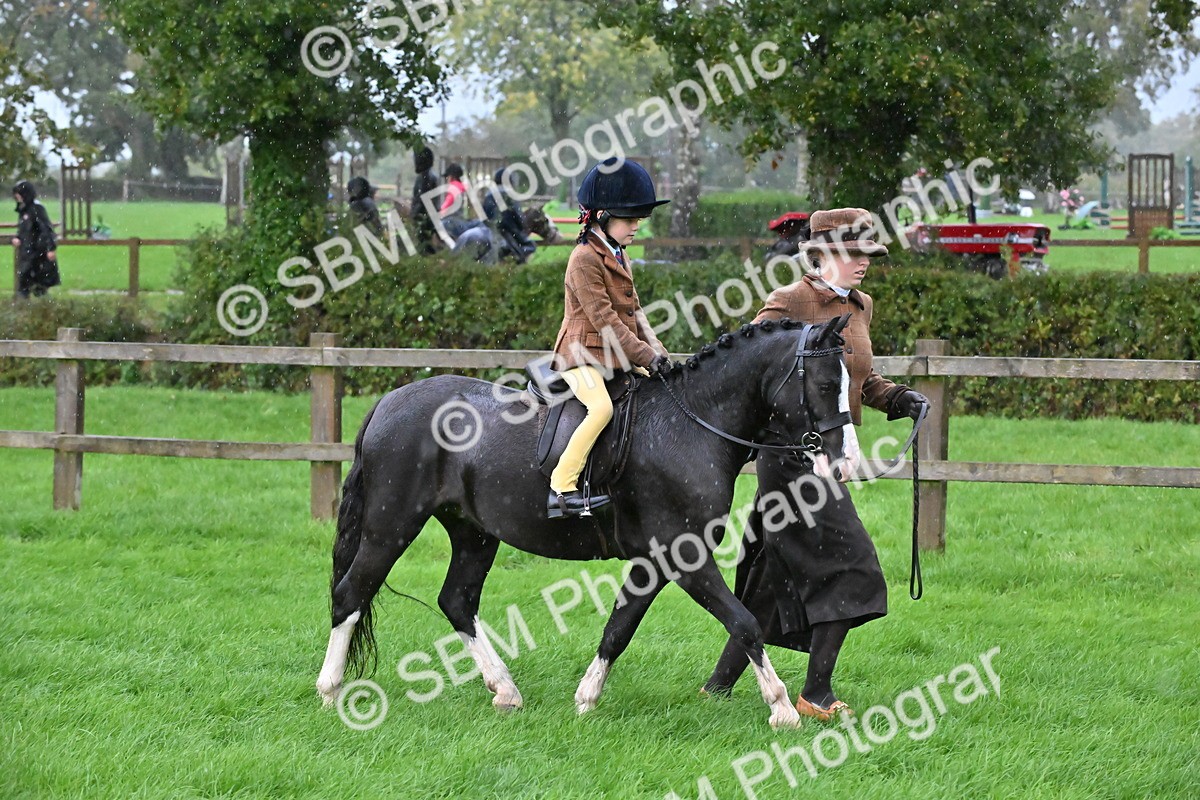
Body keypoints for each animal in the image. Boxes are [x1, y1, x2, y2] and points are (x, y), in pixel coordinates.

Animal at [316, 314, 861, 729]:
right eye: (826, 384)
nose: (843, 465)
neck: (691, 423)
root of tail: (391, 401)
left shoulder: (653, 562)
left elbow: (619, 627)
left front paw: (586, 698)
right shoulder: (685, 556)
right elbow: (745, 622)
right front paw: (782, 708)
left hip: (473, 533)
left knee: (457, 601)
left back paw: (505, 690)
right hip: (391, 525)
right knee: (351, 593)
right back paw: (331, 691)